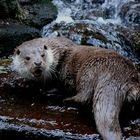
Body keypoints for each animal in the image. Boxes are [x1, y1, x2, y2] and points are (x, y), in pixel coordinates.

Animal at [11, 37, 140, 140]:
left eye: (42, 55)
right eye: (27, 58)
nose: (38, 63)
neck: (58, 55)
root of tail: (118, 75)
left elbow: (54, 87)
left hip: (88, 70)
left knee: (85, 96)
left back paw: (66, 100)